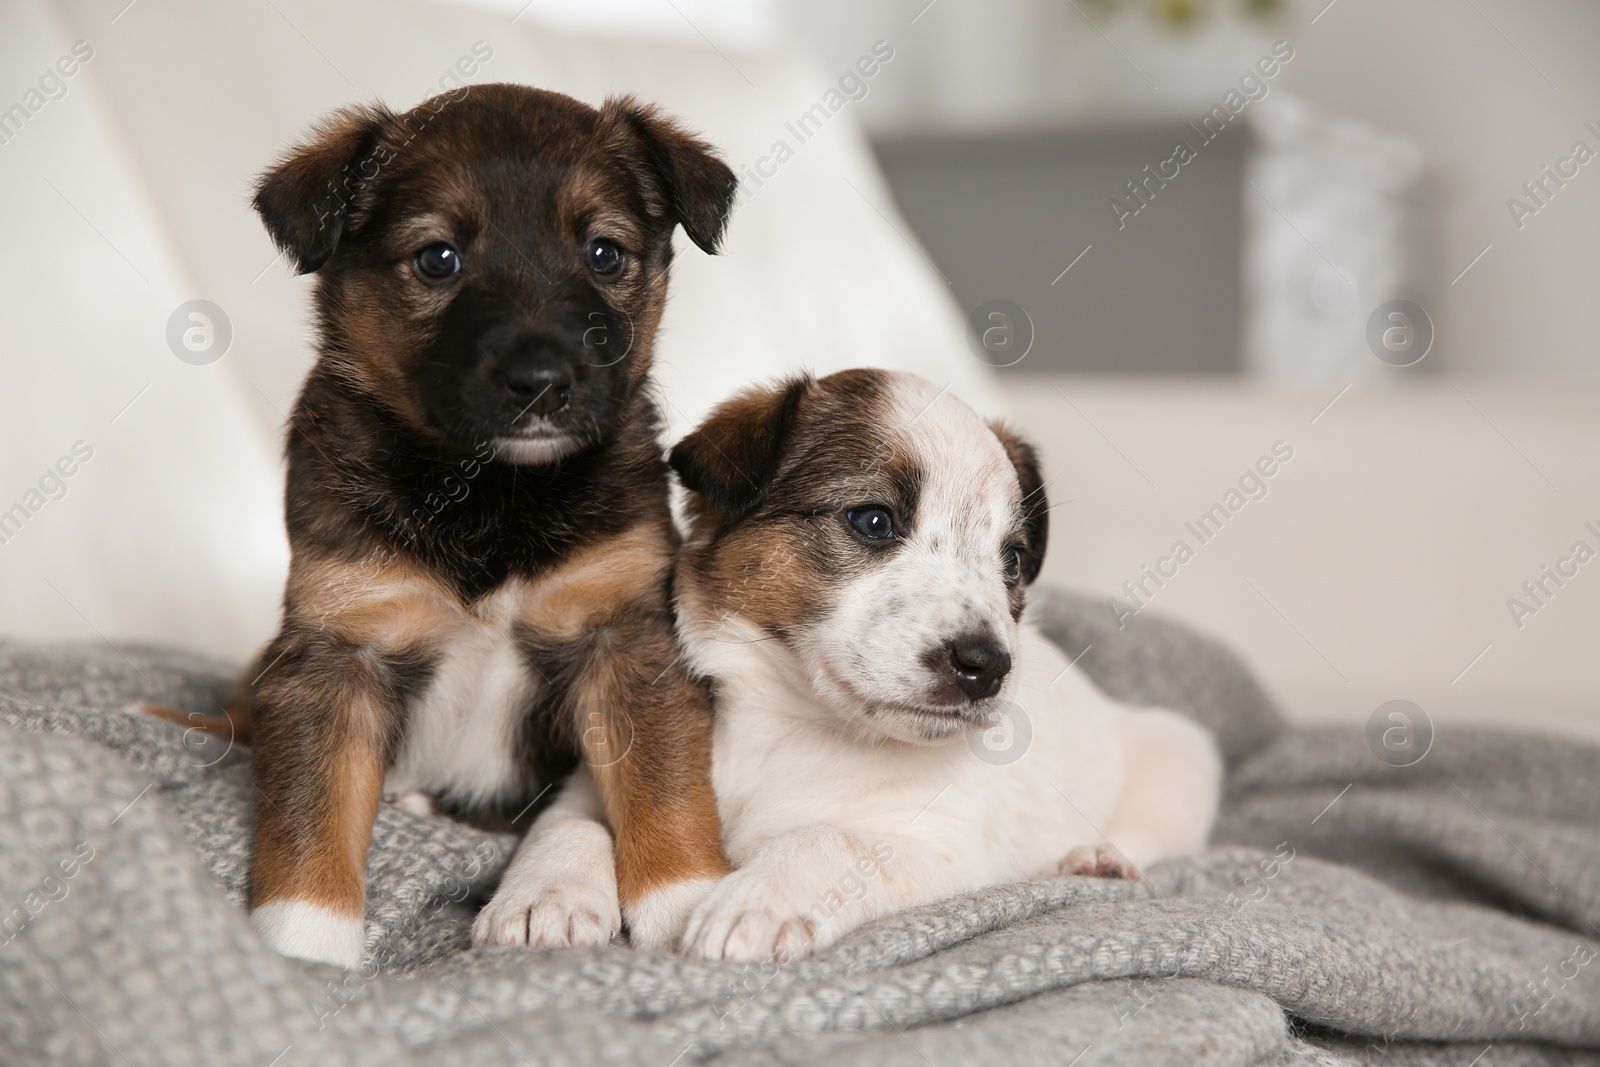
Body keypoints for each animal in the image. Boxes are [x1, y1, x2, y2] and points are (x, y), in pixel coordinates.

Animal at [154, 83, 732, 966]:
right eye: (438, 259)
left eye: (604, 253)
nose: (542, 382)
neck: (488, 489)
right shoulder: (335, 650)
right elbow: (309, 818)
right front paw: (305, 946)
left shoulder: (626, 631)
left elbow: (662, 787)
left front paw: (684, 898)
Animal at [665, 371, 1222, 966]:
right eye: (873, 521)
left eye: (1012, 560)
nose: (987, 666)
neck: (799, 731)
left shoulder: (949, 851)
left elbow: (831, 838)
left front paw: (758, 899)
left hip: (1181, 756)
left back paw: (1094, 858)